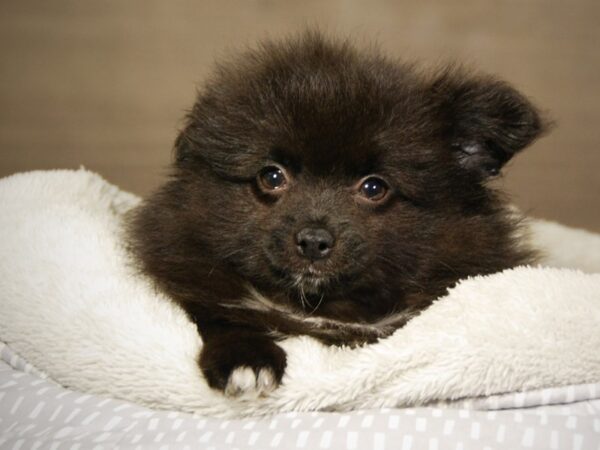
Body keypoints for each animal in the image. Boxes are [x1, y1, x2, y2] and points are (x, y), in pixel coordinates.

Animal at [127, 31, 548, 398]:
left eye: (374, 188)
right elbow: (220, 316)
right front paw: (246, 360)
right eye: (271, 176)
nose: (313, 240)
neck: (316, 306)